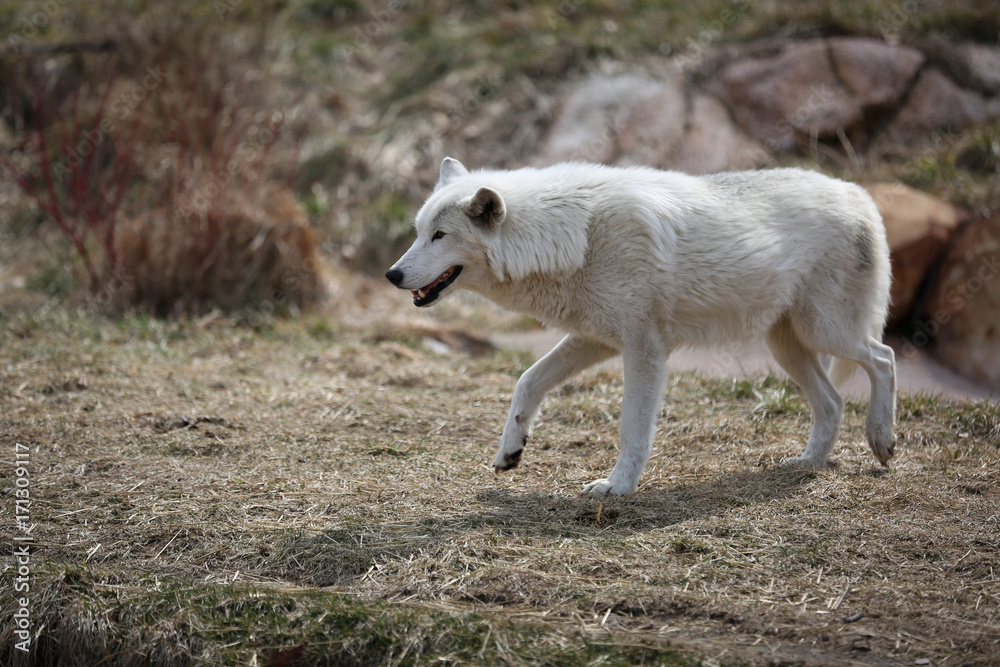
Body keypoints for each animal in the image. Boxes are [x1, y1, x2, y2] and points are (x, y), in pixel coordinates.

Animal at [386, 158, 896, 497]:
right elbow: (527, 382)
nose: (392, 274)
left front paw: (617, 486)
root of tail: (859, 194)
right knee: (833, 401)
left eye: (440, 236)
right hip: (787, 347)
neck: (576, 236)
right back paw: (808, 462)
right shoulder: (593, 340)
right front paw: (510, 450)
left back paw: (882, 440)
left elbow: (632, 426)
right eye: (418, 232)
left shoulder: (643, 350)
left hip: (826, 332)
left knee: (883, 359)